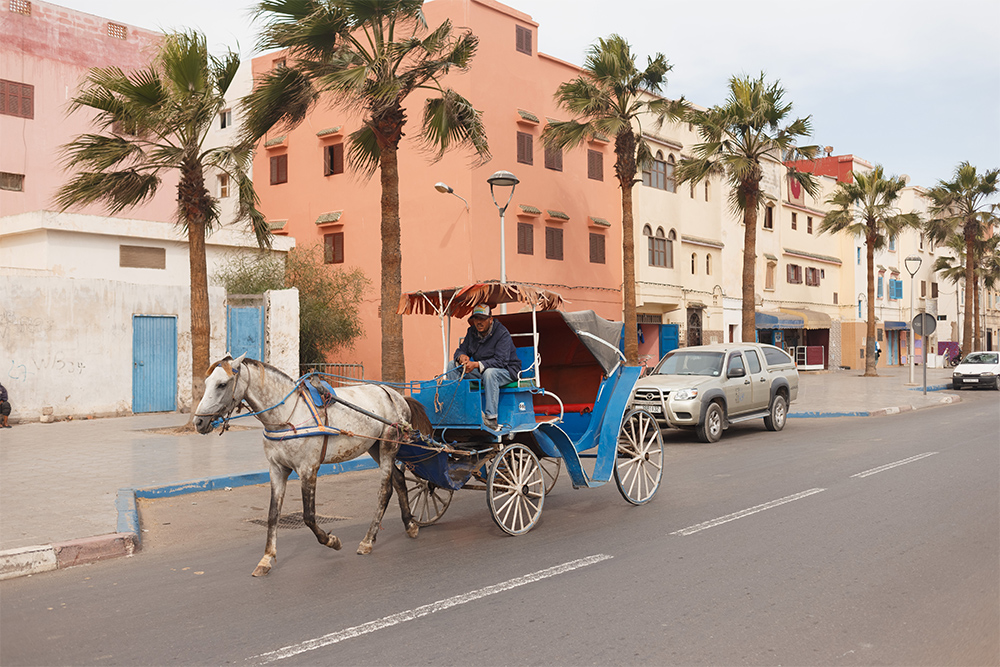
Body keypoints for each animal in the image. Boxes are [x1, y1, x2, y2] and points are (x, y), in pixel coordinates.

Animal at [193, 354, 432, 580]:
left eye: (222, 384)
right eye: (206, 382)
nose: (198, 422)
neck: (287, 416)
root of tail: (395, 394)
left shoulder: (308, 469)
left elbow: (308, 516)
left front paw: (332, 541)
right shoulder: (277, 469)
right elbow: (272, 514)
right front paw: (266, 559)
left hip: (388, 446)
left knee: (385, 490)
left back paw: (368, 540)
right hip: (375, 447)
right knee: (399, 479)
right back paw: (410, 525)